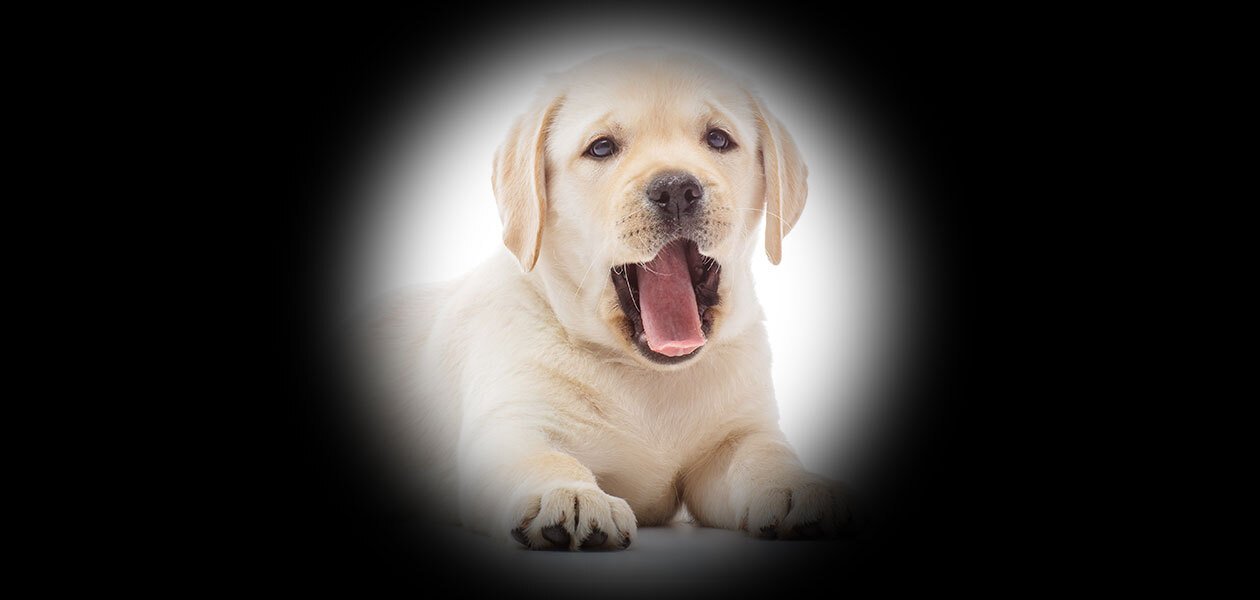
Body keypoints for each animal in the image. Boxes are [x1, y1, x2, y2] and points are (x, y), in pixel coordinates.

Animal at [367, 49, 851, 549]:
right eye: (601, 148)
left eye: (718, 138)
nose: (676, 188)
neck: (650, 376)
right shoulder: (512, 422)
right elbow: (544, 458)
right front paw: (569, 493)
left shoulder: (738, 436)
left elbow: (763, 454)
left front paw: (794, 486)